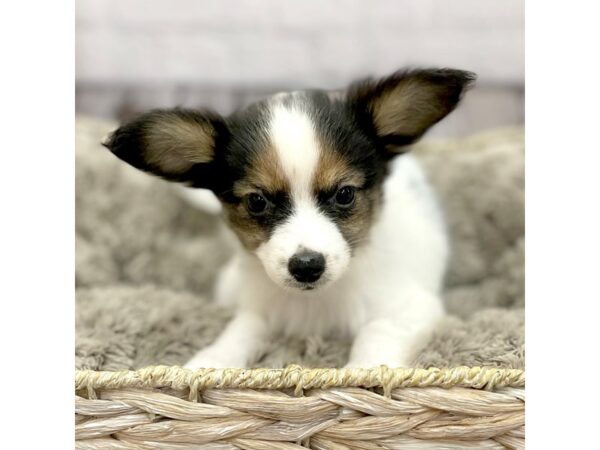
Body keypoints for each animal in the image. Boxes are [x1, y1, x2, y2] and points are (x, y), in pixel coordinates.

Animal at [104, 67, 478, 370]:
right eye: (257, 202)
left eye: (344, 194)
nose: (307, 266)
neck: (315, 302)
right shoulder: (257, 309)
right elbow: (238, 332)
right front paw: (209, 363)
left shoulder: (412, 307)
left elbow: (378, 330)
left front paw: (364, 372)